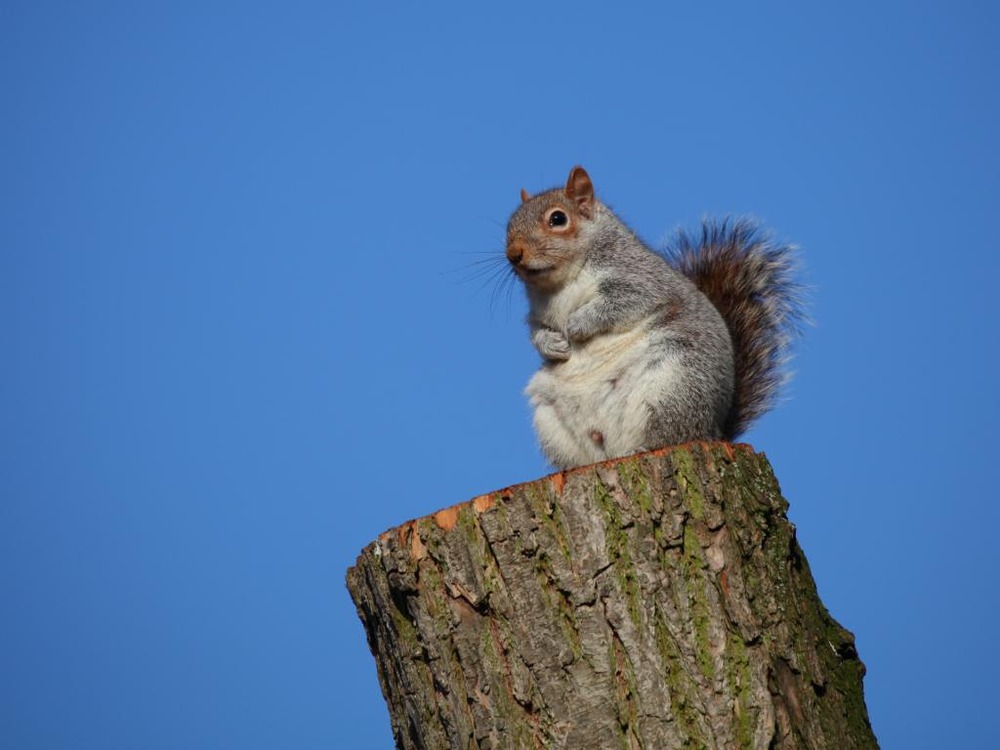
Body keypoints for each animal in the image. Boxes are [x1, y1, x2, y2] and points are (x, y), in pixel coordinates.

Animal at [508, 166, 804, 470]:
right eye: (510, 224)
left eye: (558, 219)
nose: (513, 254)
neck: (560, 283)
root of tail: (714, 432)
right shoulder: (538, 315)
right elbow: (537, 332)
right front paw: (552, 343)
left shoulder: (641, 281)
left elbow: (618, 305)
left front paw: (576, 324)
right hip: (550, 419)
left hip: (674, 385)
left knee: (669, 434)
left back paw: (642, 447)